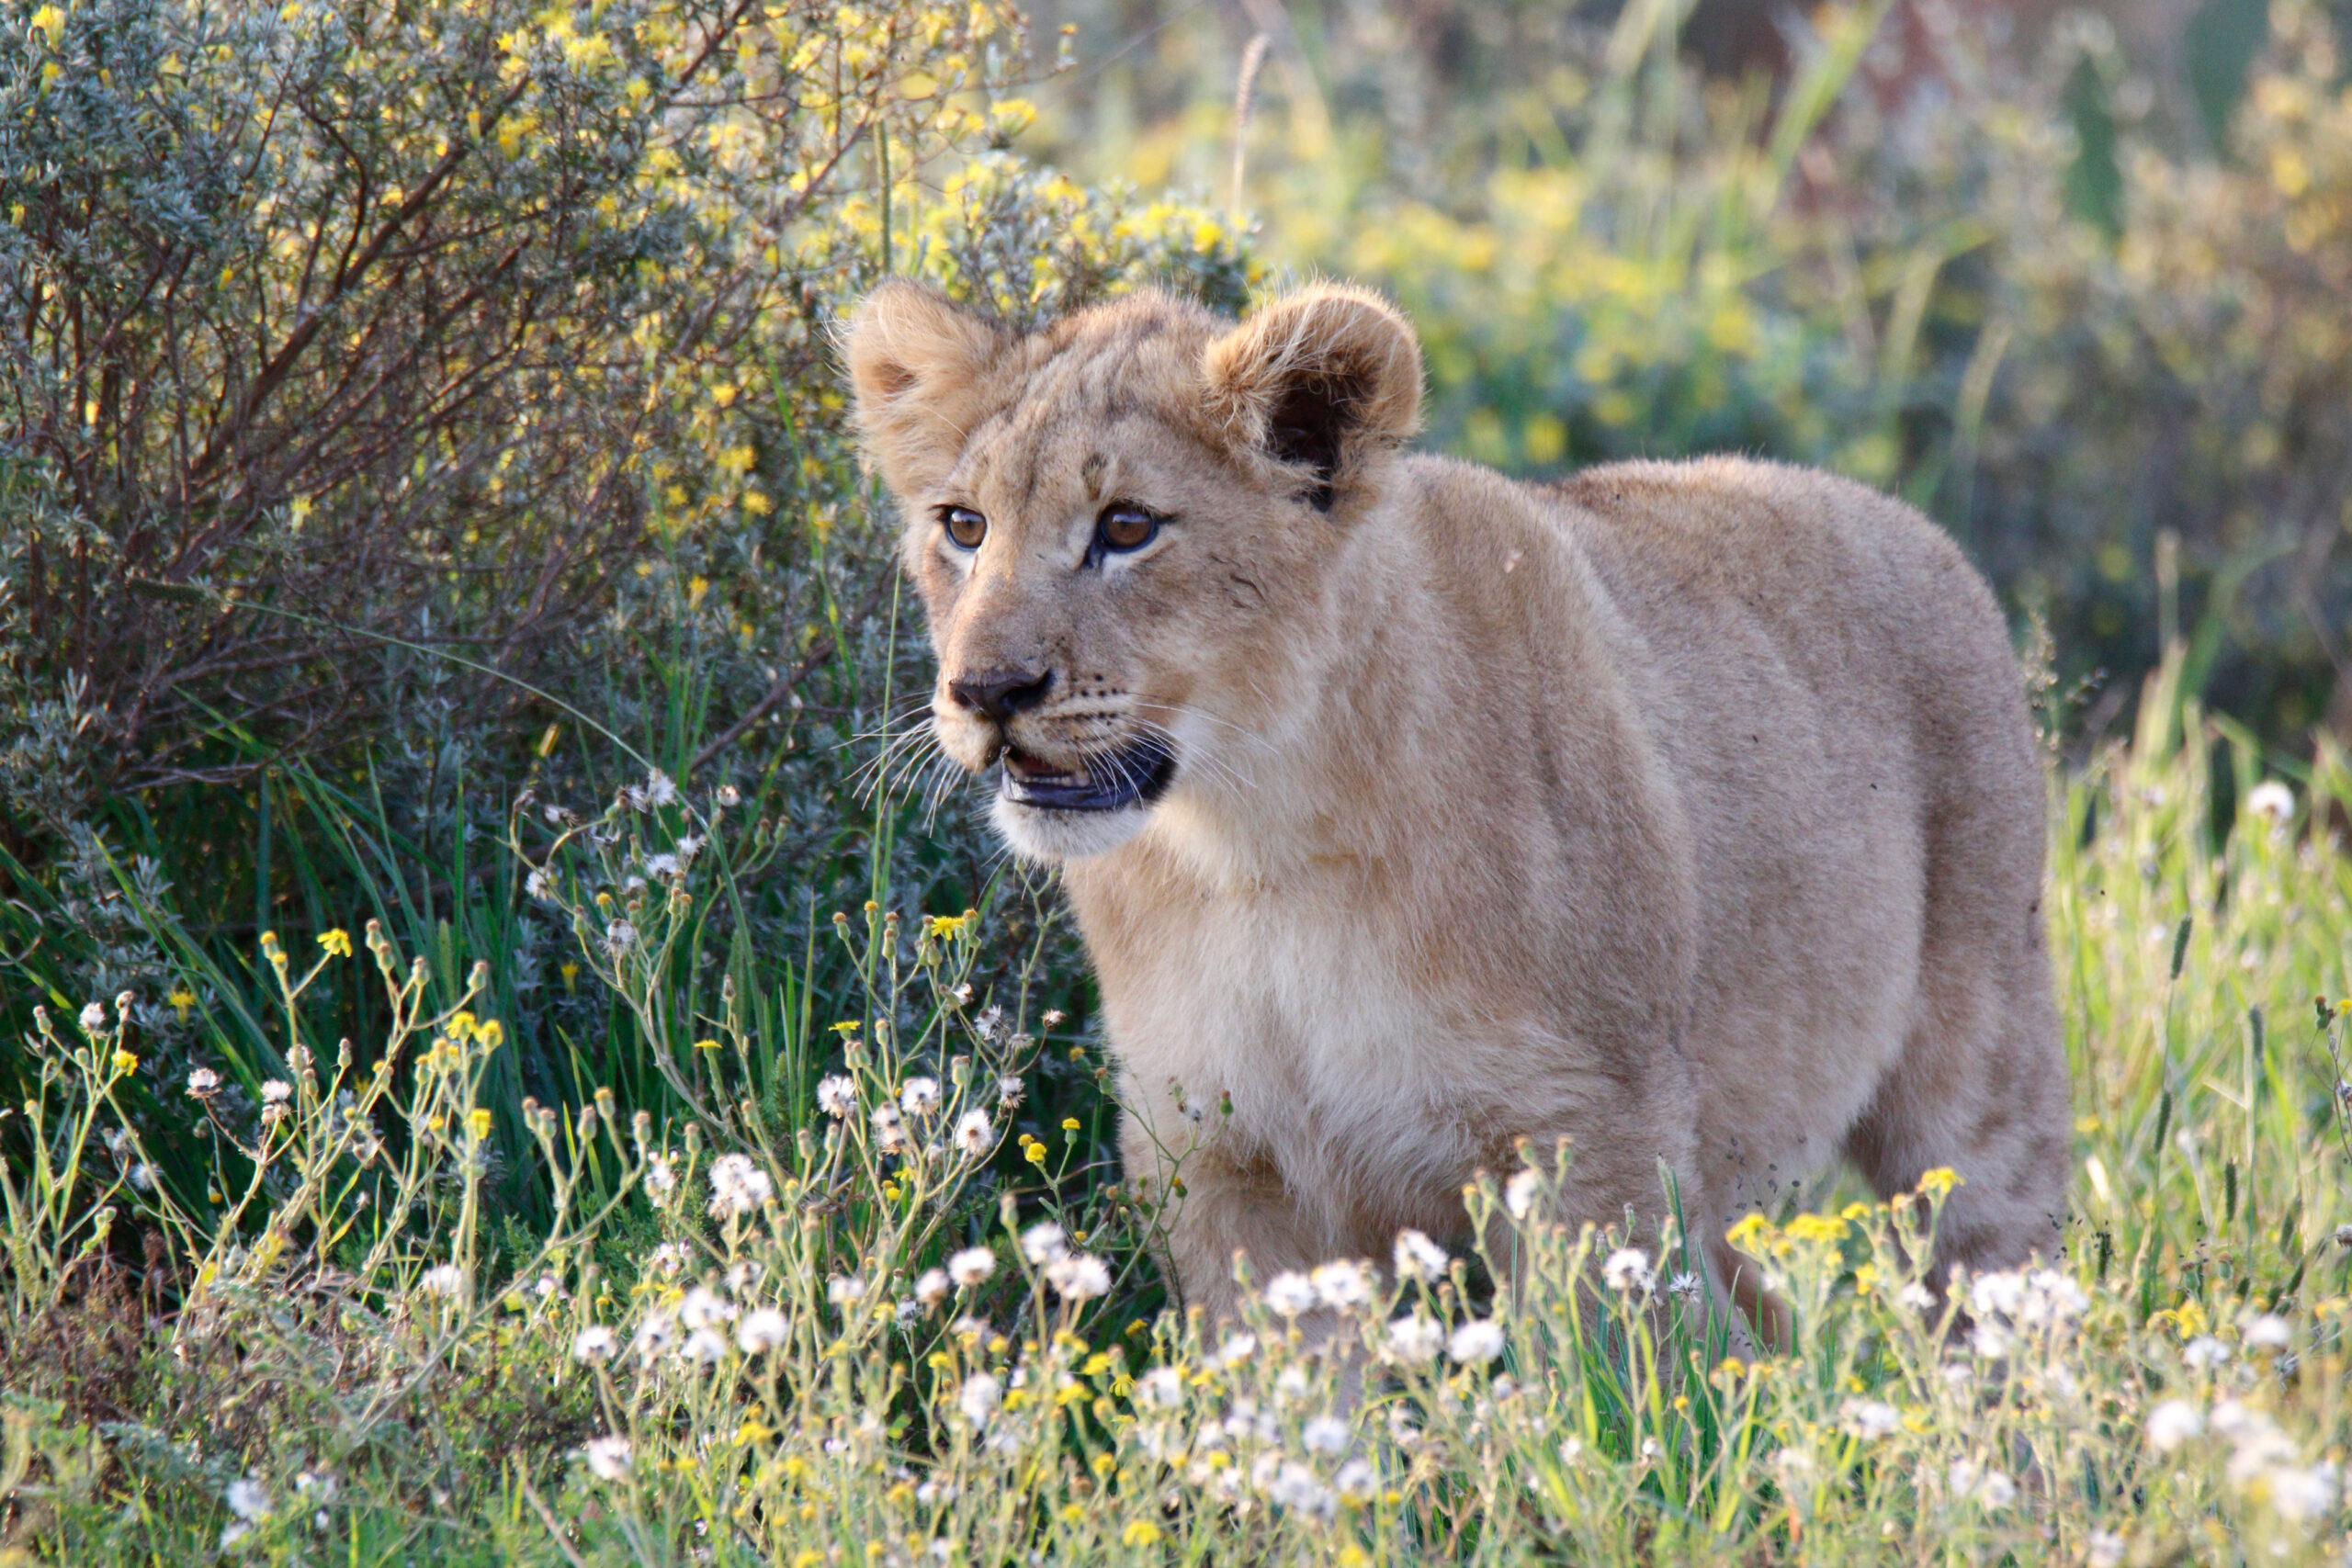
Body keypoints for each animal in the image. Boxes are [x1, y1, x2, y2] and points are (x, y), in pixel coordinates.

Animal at [845, 279, 2071, 1336]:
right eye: (963, 526)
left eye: (1129, 527)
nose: (986, 692)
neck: (1251, 849)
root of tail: (1919, 528)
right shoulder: (1223, 1163)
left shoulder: (1587, 1132)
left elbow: (1605, 1393)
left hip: (1978, 1077)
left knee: (2009, 1293)